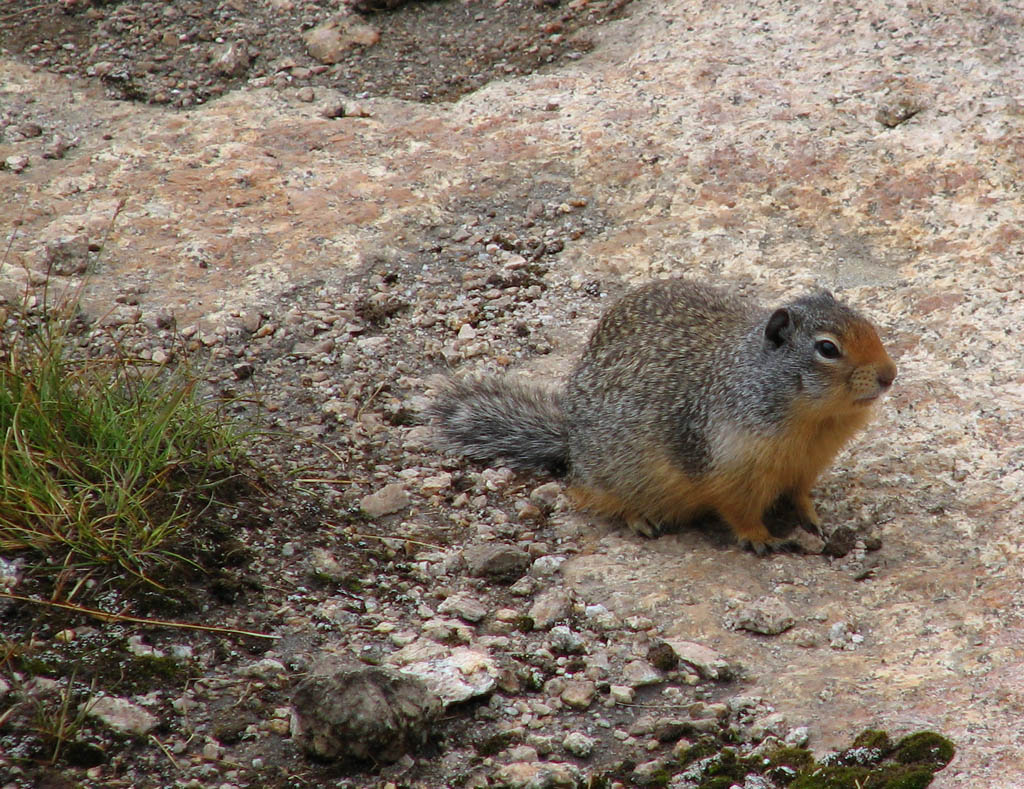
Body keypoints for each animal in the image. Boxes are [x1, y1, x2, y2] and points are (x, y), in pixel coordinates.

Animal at [432, 280, 897, 552]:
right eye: (827, 348)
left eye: (868, 323)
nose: (890, 375)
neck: (814, 420)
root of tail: (570, 440)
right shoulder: (731, 464)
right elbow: (740, 510)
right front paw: (762, 539)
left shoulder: (806, 465)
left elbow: (800, 494)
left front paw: (813, 519)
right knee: (588, 494)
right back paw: (640, 519)